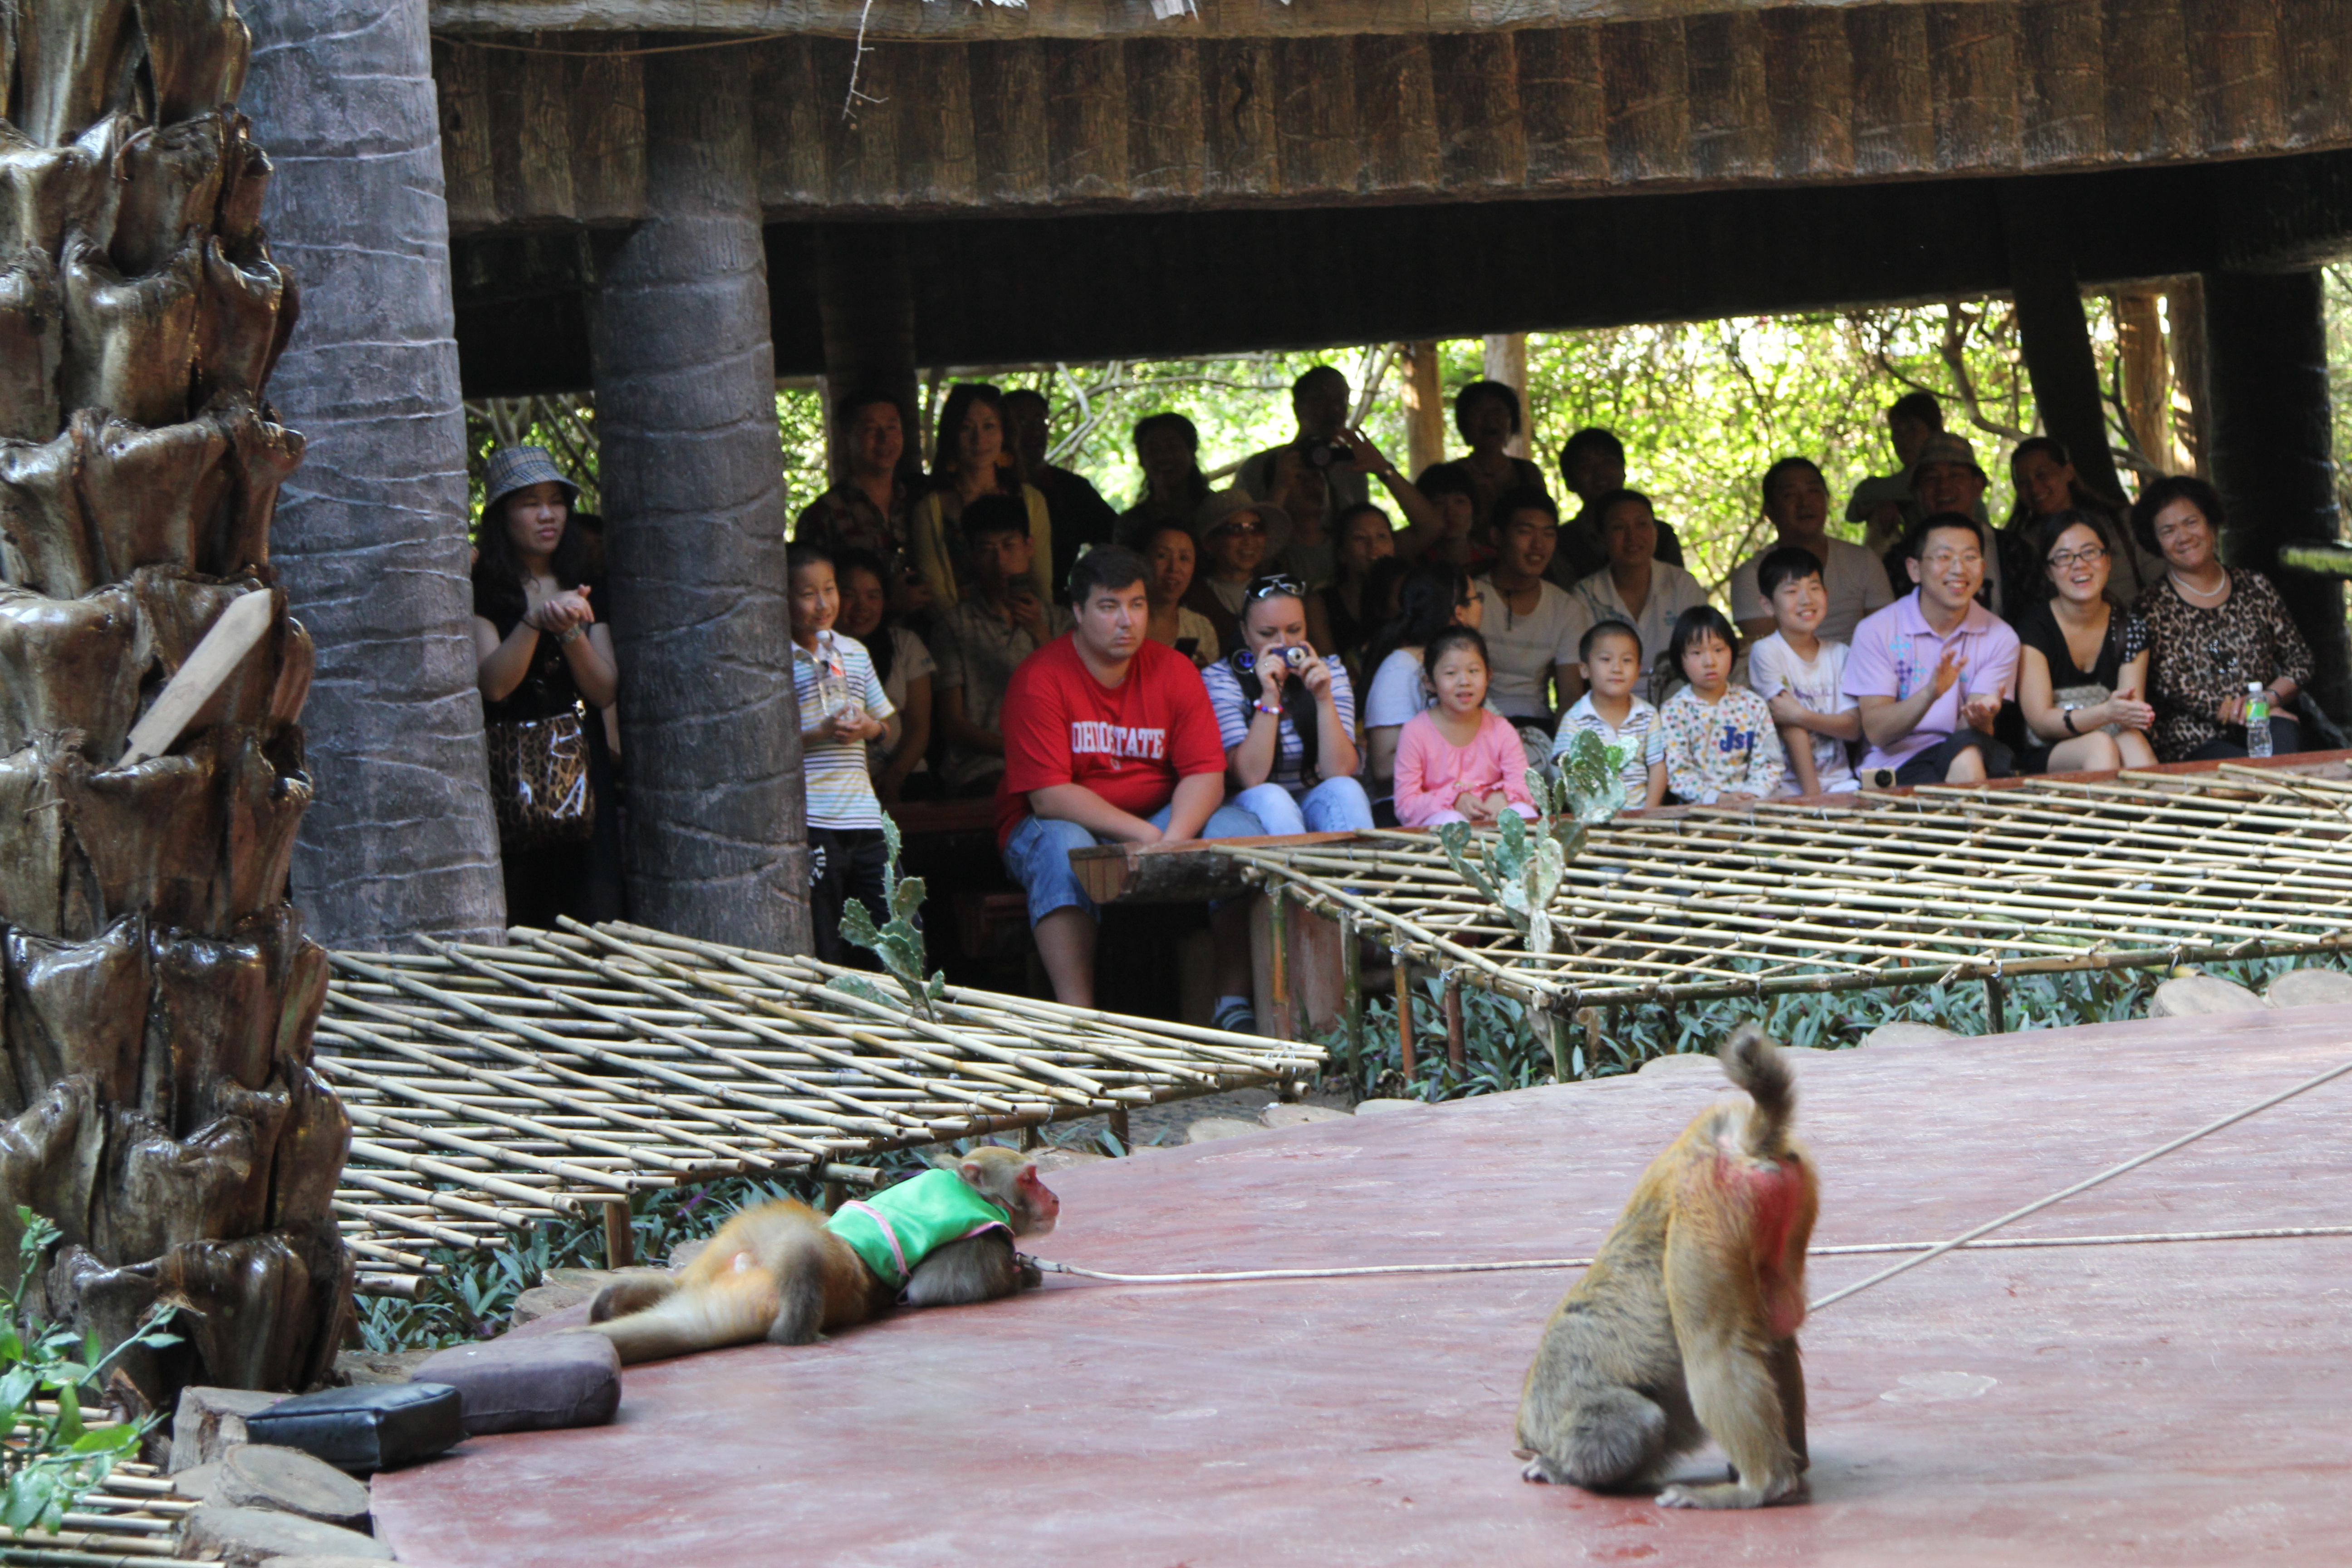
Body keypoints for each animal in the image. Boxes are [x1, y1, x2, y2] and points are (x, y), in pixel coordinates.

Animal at [583, 1147, 1063, 1363]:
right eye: (1031, 1178)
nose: (1055, 1198)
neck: (971, 1191)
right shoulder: (979, 1238)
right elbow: (931, 1291)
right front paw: (1024, 1275)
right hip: (844, 1280)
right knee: (811, 1246)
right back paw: (795, 1333)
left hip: (739, 1242)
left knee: (690, 1281)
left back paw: (612, 1303)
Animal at [1505, 1025, 1816, 1514]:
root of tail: (1735, 1141)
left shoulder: (1573, 1399)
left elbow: (1633, 1426)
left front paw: (1553, 1468)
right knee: (1775, 1330)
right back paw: (1792, 1466)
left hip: (1706, 1204)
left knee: (1712, 1347)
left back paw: (1760, 1486)